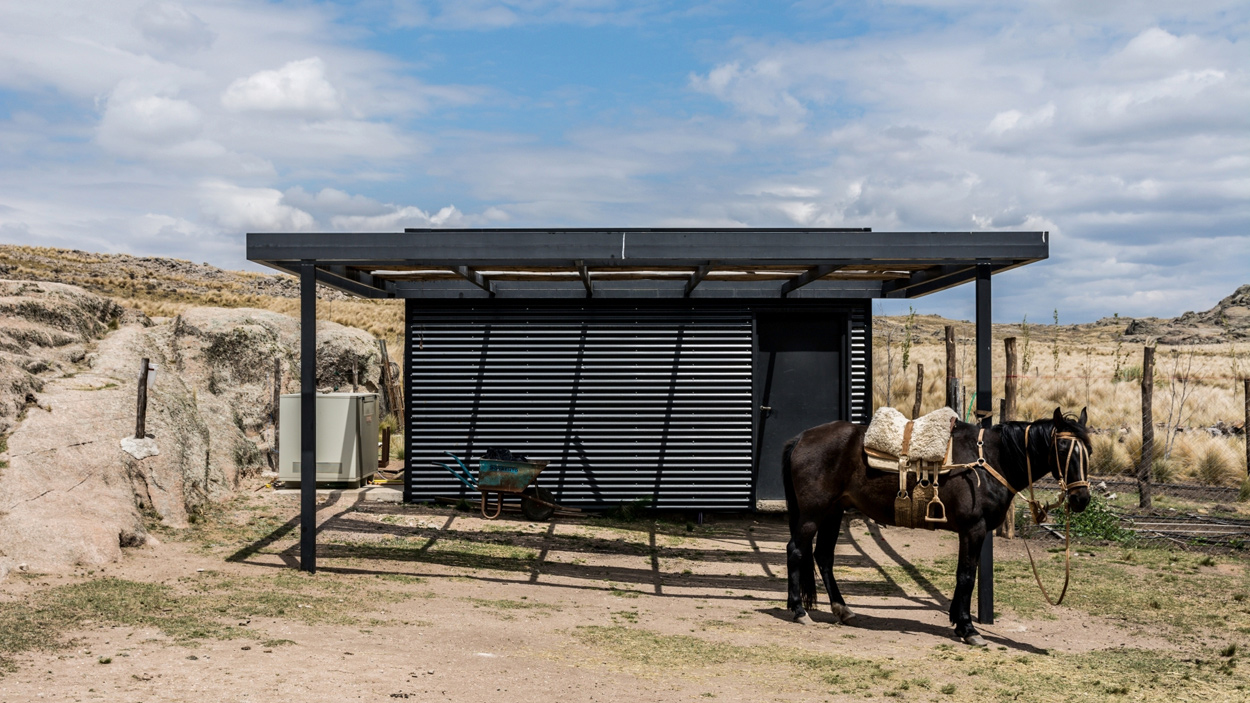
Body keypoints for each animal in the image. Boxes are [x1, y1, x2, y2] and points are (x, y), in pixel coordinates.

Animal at [780, 405, 1095, 640]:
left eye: (1088, 451)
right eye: (1063, 448)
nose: (1081, 498)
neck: (991, 460)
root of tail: (801, 438)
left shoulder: (971, 532)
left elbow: (965, 573)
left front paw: (957, 619)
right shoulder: (974, 529)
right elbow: (967, 576)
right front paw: (968, 628)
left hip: (833, 512)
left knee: (823, 556)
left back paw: (842, 609)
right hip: (812, 514)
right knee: (796, 551)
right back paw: (798, 611)